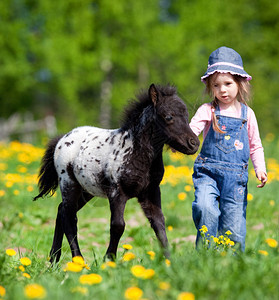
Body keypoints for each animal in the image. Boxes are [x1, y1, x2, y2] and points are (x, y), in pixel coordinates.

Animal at [34, 84, 200, 262]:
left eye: (186, 115)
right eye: (169, 116)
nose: (194, 144)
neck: (135, 152)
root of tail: (61, 139)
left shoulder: (151, 192)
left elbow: (159, 223)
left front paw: (169, 261)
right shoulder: (117, 192)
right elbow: (118, 225)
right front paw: (108, 259)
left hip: (87, 190)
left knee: (61, 211)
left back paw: (54, 258)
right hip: (69, 184)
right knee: (69, 218)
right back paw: (78, 260)